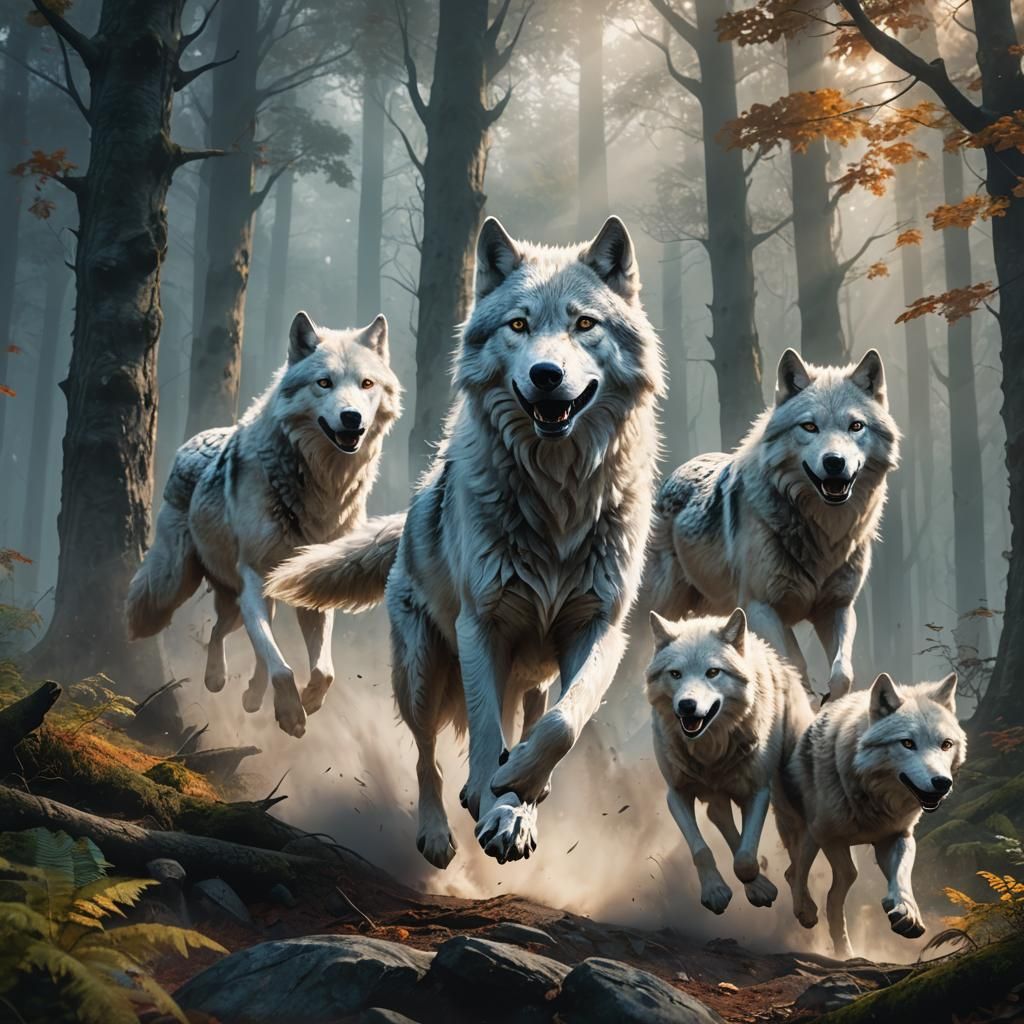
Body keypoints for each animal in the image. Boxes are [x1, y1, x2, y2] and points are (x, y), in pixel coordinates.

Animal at [126, 312, 401, 738]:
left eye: (366, 384)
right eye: (324, 382)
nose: (351, 418)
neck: (317, 489)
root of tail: (195, 439)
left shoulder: (314, 586)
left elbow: (323, 671)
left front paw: (307, 702)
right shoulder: (254, 578)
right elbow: (282, 667)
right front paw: (290, 714)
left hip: (251, 598)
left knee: (230, 635)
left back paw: (244, 692)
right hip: (184, 583)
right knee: (212, 627)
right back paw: (213, 676)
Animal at [268, 216, 664, 865]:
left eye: (584, 324)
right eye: (519, 325)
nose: (546, 375)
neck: (556, 499)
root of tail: (408, 518)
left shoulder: (601, 627)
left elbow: (564, 724)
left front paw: (518, 789)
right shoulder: (483, 624)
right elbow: (482, 731)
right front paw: (491, 796)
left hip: (531, 673)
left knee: (535, 713)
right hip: (420, 673)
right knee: (426, 758)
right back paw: (436, 832)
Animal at [645, 349, 900, 703]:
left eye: (856, 426)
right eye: (809, 426)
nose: (834, 462)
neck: (822, 533)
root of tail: (679, 470)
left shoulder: (837, 607)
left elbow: (842, 675)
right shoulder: (762, 608)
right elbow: (795, 665)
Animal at [647, 609, 813, 914]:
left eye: (713, 672)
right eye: (675, 674)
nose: (686, 706)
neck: (711, 751)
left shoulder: (759, 791)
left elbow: (745, 861)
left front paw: (756, 883)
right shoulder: (677, 794)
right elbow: (701, 850)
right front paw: (716, 891)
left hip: (786, 788)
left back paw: (803, 906)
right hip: (717, 794)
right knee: (718, 815)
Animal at [775, 672, 966, 958]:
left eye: (946, 744)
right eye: (907, 743)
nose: (942, 783)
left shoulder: (898, 835)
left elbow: (901, 875)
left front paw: (906, 912)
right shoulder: (830, 836)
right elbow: (847, 875)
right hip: (807, 831)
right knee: (794, 871)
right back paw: (807, 912)